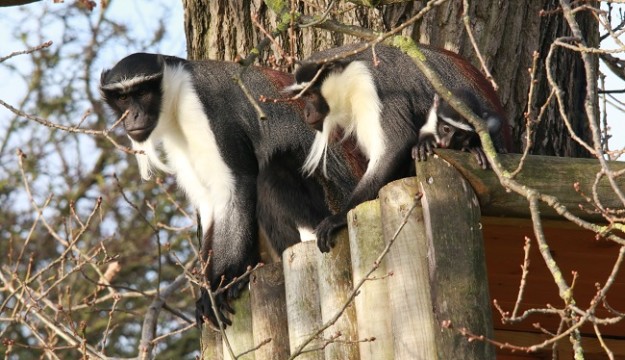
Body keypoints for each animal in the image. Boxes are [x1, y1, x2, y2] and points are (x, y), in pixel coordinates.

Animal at [100, 52, 358, 326]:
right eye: (123, 98)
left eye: (141, 92)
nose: (133, 116)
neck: (175, 92)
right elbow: (208, 201)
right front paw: (209, 290)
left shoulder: (206, 109)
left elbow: (236, 185)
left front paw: (222, 282)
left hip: (330, 200)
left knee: (273, 171)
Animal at [286, 43, 508, 252]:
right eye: (304, 96)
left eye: (311, 95)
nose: (307, 112)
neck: (350, 71)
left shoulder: (373, 85)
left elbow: (396, 143)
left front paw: (338, 217)